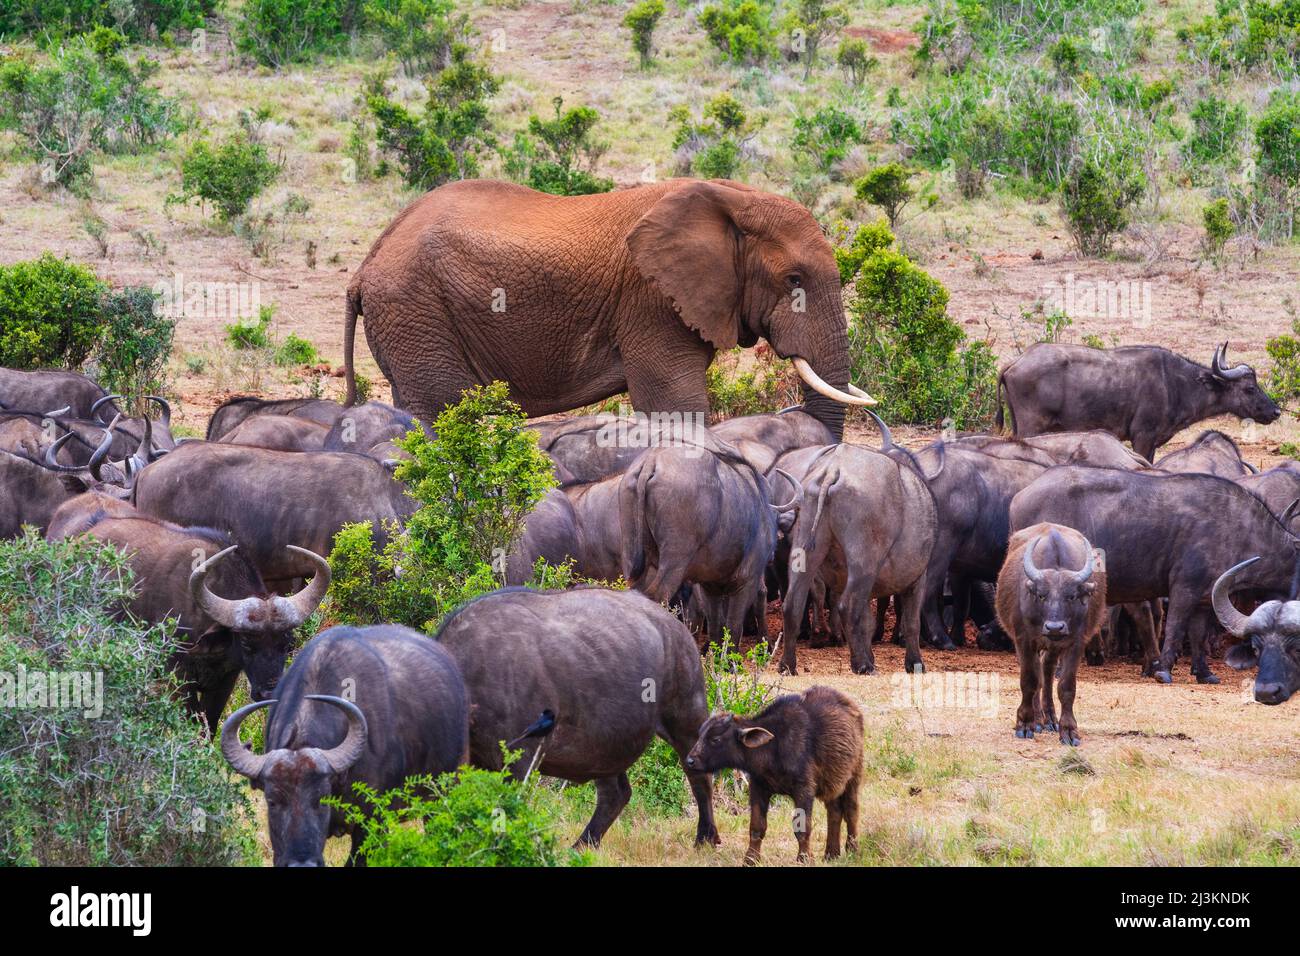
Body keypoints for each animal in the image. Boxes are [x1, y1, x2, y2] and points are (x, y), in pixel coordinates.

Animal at [343, 178, 873, 438]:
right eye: (794, 280)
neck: (735, 199)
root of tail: (365, 266)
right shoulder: (650, 299)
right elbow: (675, 403)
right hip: (416, 310)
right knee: (440, 410)